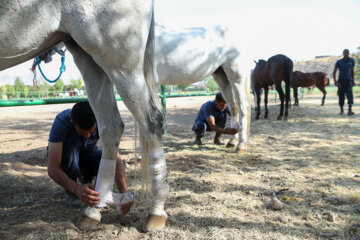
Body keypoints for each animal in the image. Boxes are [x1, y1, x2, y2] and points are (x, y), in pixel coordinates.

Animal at [0, 0, 167, 232]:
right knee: (111, 127)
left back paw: (156, 211)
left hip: (119, 62)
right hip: (89, 57)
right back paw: (94, 209)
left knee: (151, 122)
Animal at [155, 24, 250, 152]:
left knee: (242, 107)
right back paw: (232, 141)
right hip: (222, 77)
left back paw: (241, 145)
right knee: (233, 107)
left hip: (236, 76)